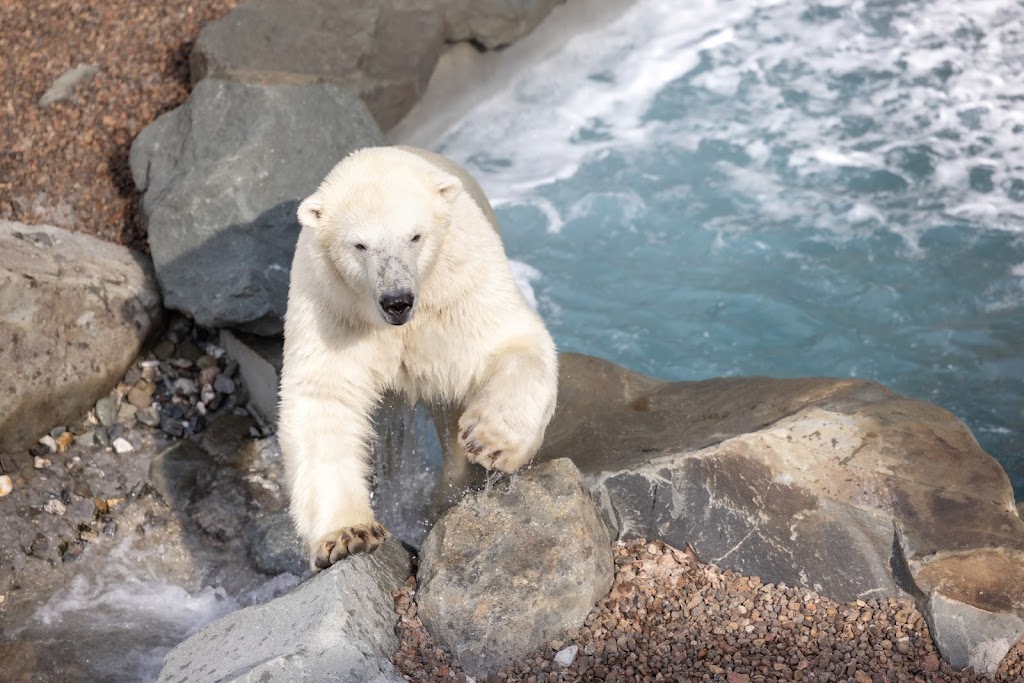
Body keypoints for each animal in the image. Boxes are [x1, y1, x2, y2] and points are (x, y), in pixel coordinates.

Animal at [280, 145, 561, 573]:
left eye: (415, 236)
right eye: (359, 245)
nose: (397, 300)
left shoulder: (459, 286)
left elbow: (509, 339)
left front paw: (490, 441)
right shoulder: (332, 308)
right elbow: (325, 399)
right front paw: (348, 535)